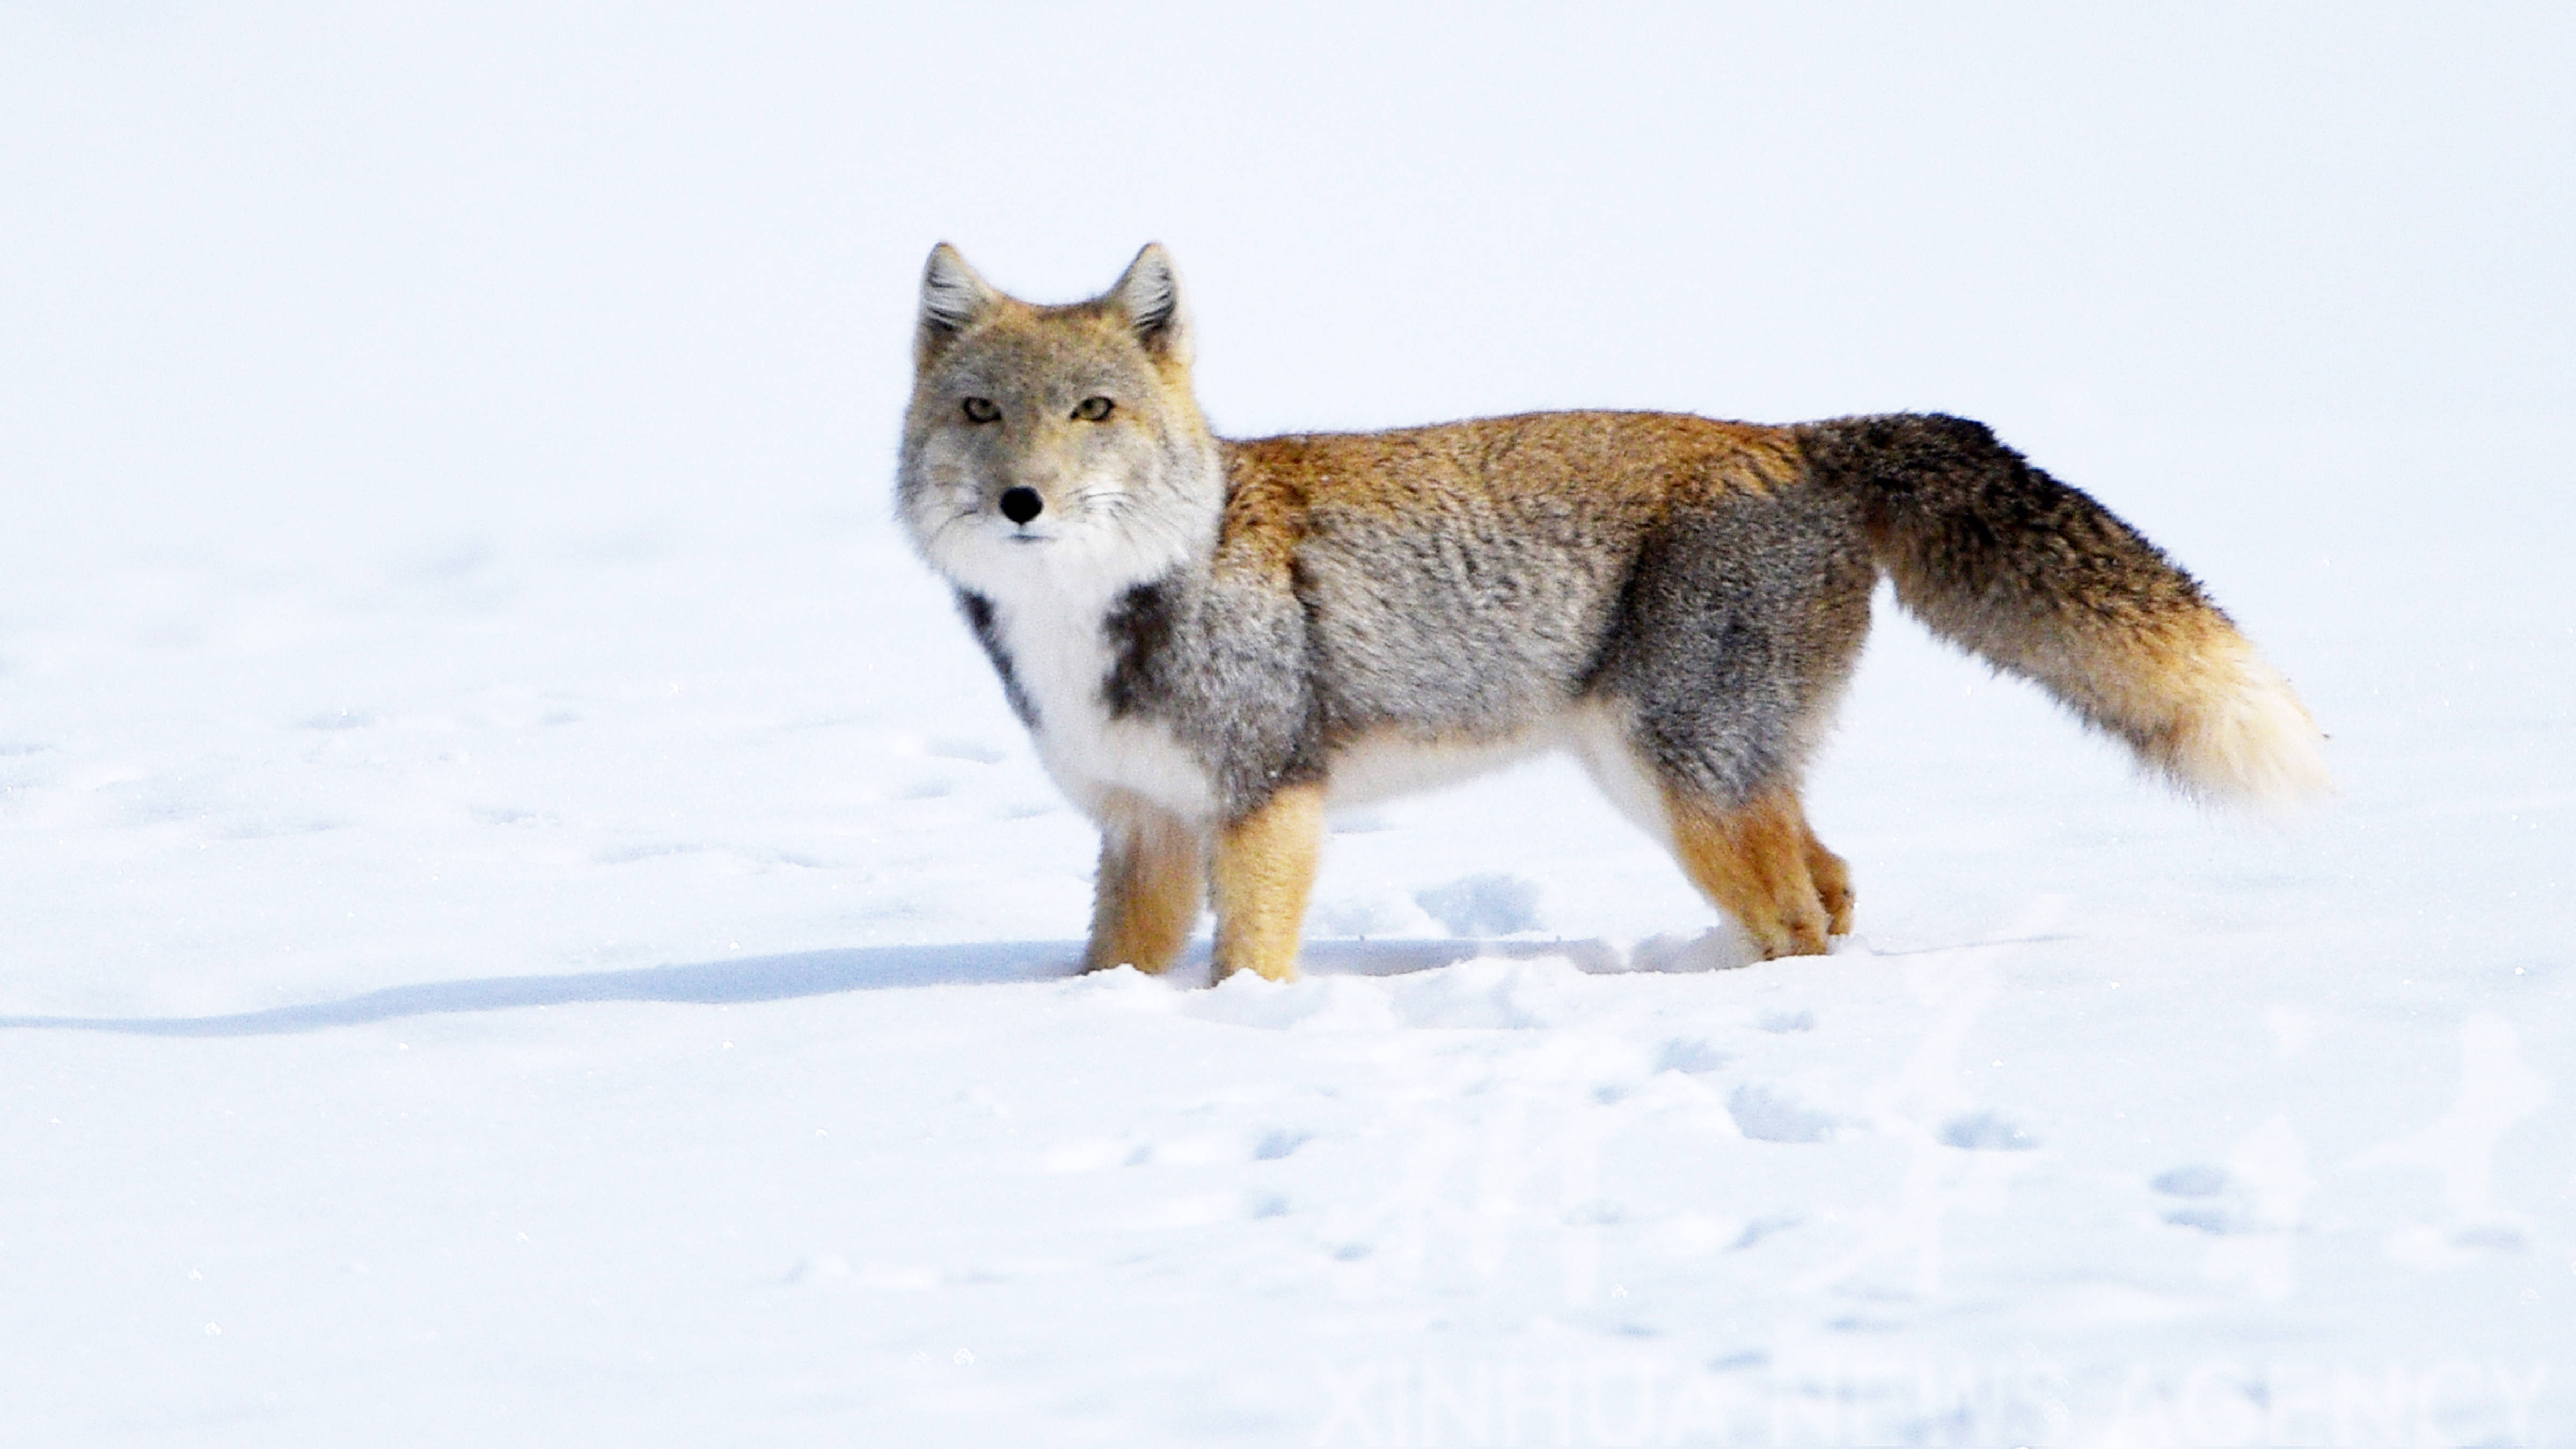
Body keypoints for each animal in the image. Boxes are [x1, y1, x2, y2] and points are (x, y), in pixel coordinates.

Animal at [896, 242, 2329, 979]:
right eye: (982, 411)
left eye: (1093, 410)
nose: (1022, 500)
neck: (1102, 610)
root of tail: (1797, 435)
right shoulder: (1139, 826)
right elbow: (1114, 971)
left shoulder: (1267, 801)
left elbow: (1249, 965)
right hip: (1686, 781)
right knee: (1831, 889)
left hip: (1685, 782)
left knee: (1800, 920)